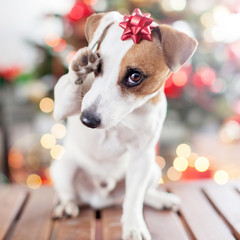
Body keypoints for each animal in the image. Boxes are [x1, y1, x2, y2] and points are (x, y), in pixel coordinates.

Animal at [50, 9, 197, 240]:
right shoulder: (62, 108)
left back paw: (160, 199)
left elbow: (134, 198)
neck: (126, 118)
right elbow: (67, 90)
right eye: (98, 65)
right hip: (64, 167)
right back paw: (67, 206)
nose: (87, 120)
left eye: (135, 76)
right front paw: (80, 67)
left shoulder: (141, 155)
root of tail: (100, 199)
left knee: (138, 195)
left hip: (152, 169)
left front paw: (134, 226)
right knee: (68, 194)